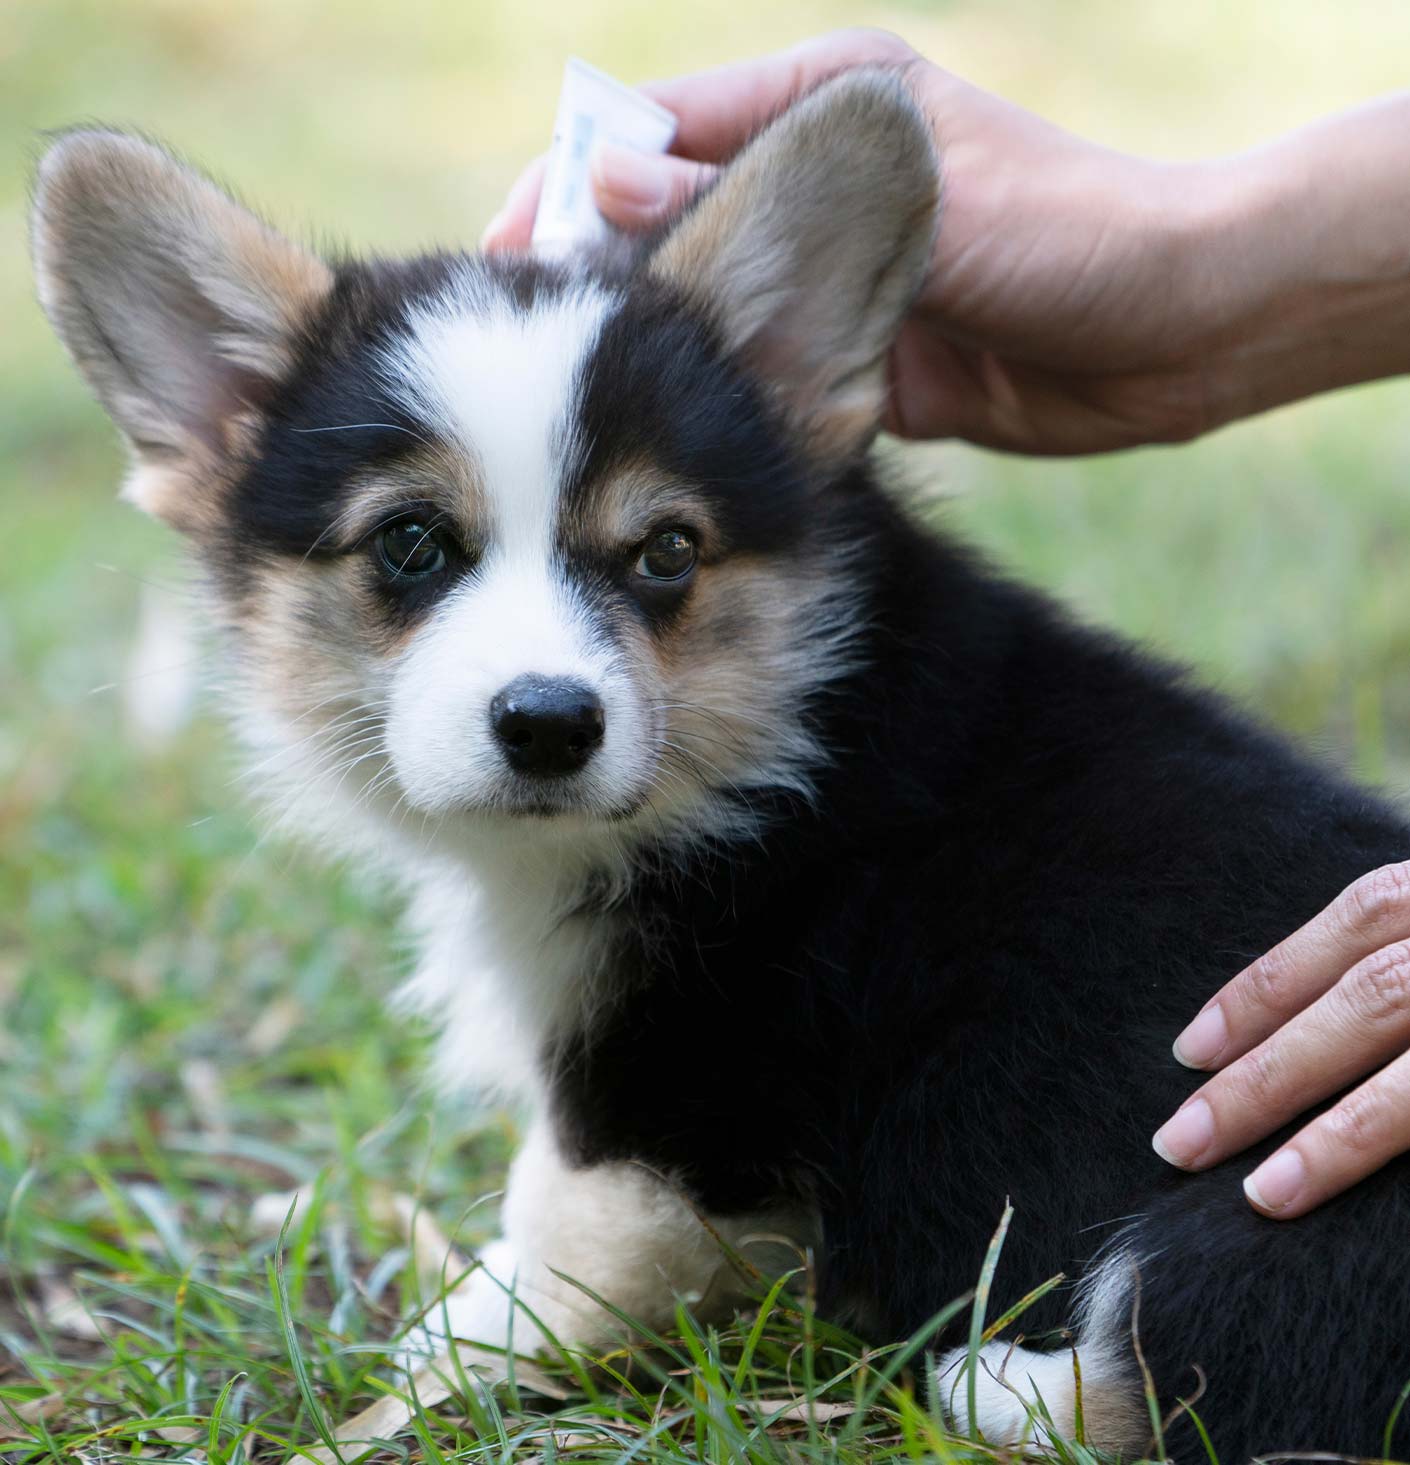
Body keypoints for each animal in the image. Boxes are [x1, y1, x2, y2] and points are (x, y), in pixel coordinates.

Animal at [32, 74, 1407, 1459]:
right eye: (411, 542)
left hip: (1273, 1186)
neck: (784, 727)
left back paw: (991, 1373)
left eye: (666, 551)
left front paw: (435, 1354)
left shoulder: (667, 1091)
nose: (549, 724)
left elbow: (564, 1234)